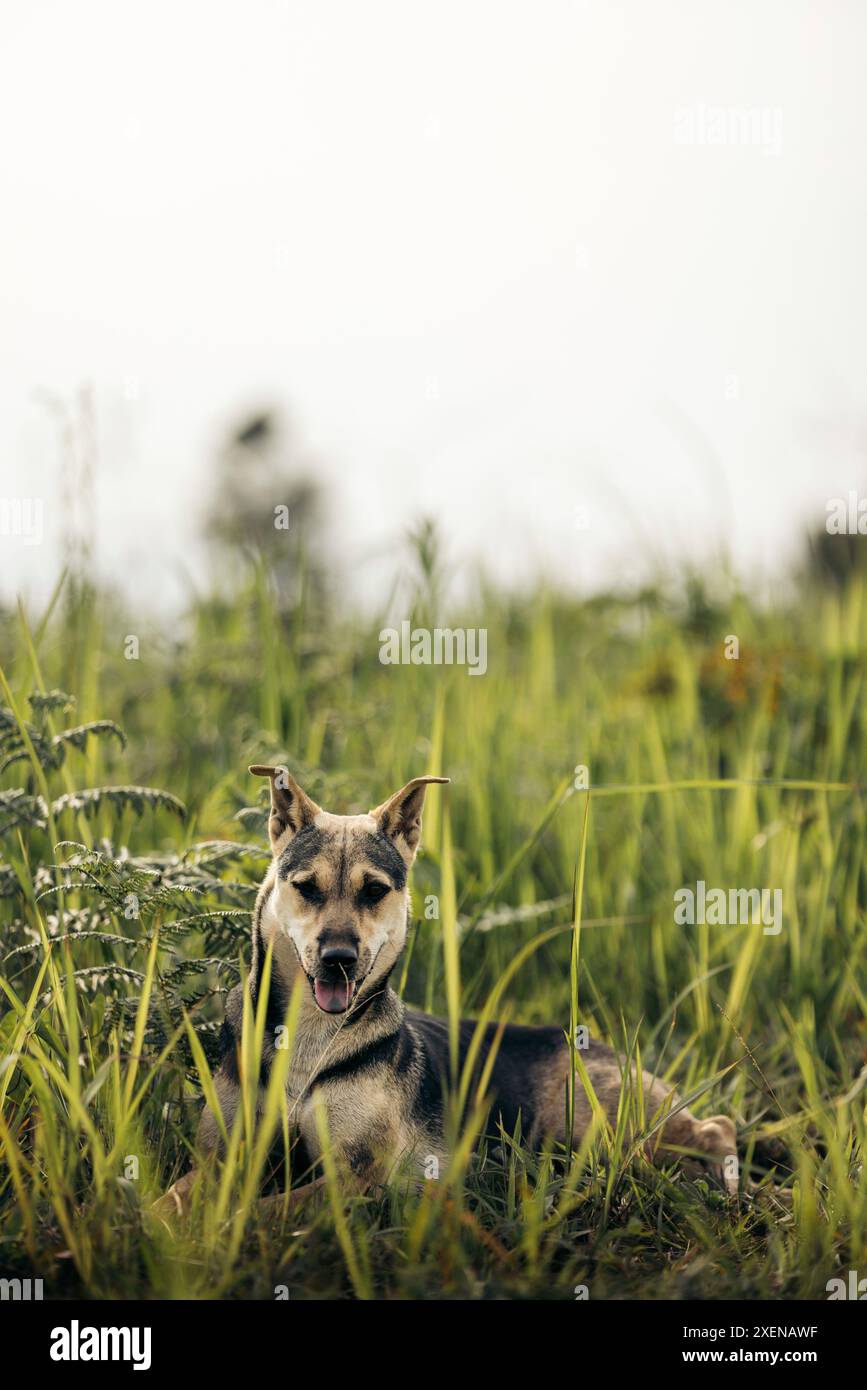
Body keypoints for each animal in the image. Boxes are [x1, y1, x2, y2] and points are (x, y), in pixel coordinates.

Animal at [159, 767, 733, 1212]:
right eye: (306, 888)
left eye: (374, 891)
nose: (339, 960)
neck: (311, 1038)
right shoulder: (221, 1156)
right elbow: (178, 1195)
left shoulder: (357, 1177)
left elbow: (265, 1211)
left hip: (598, 1119)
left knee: (713, 1126)